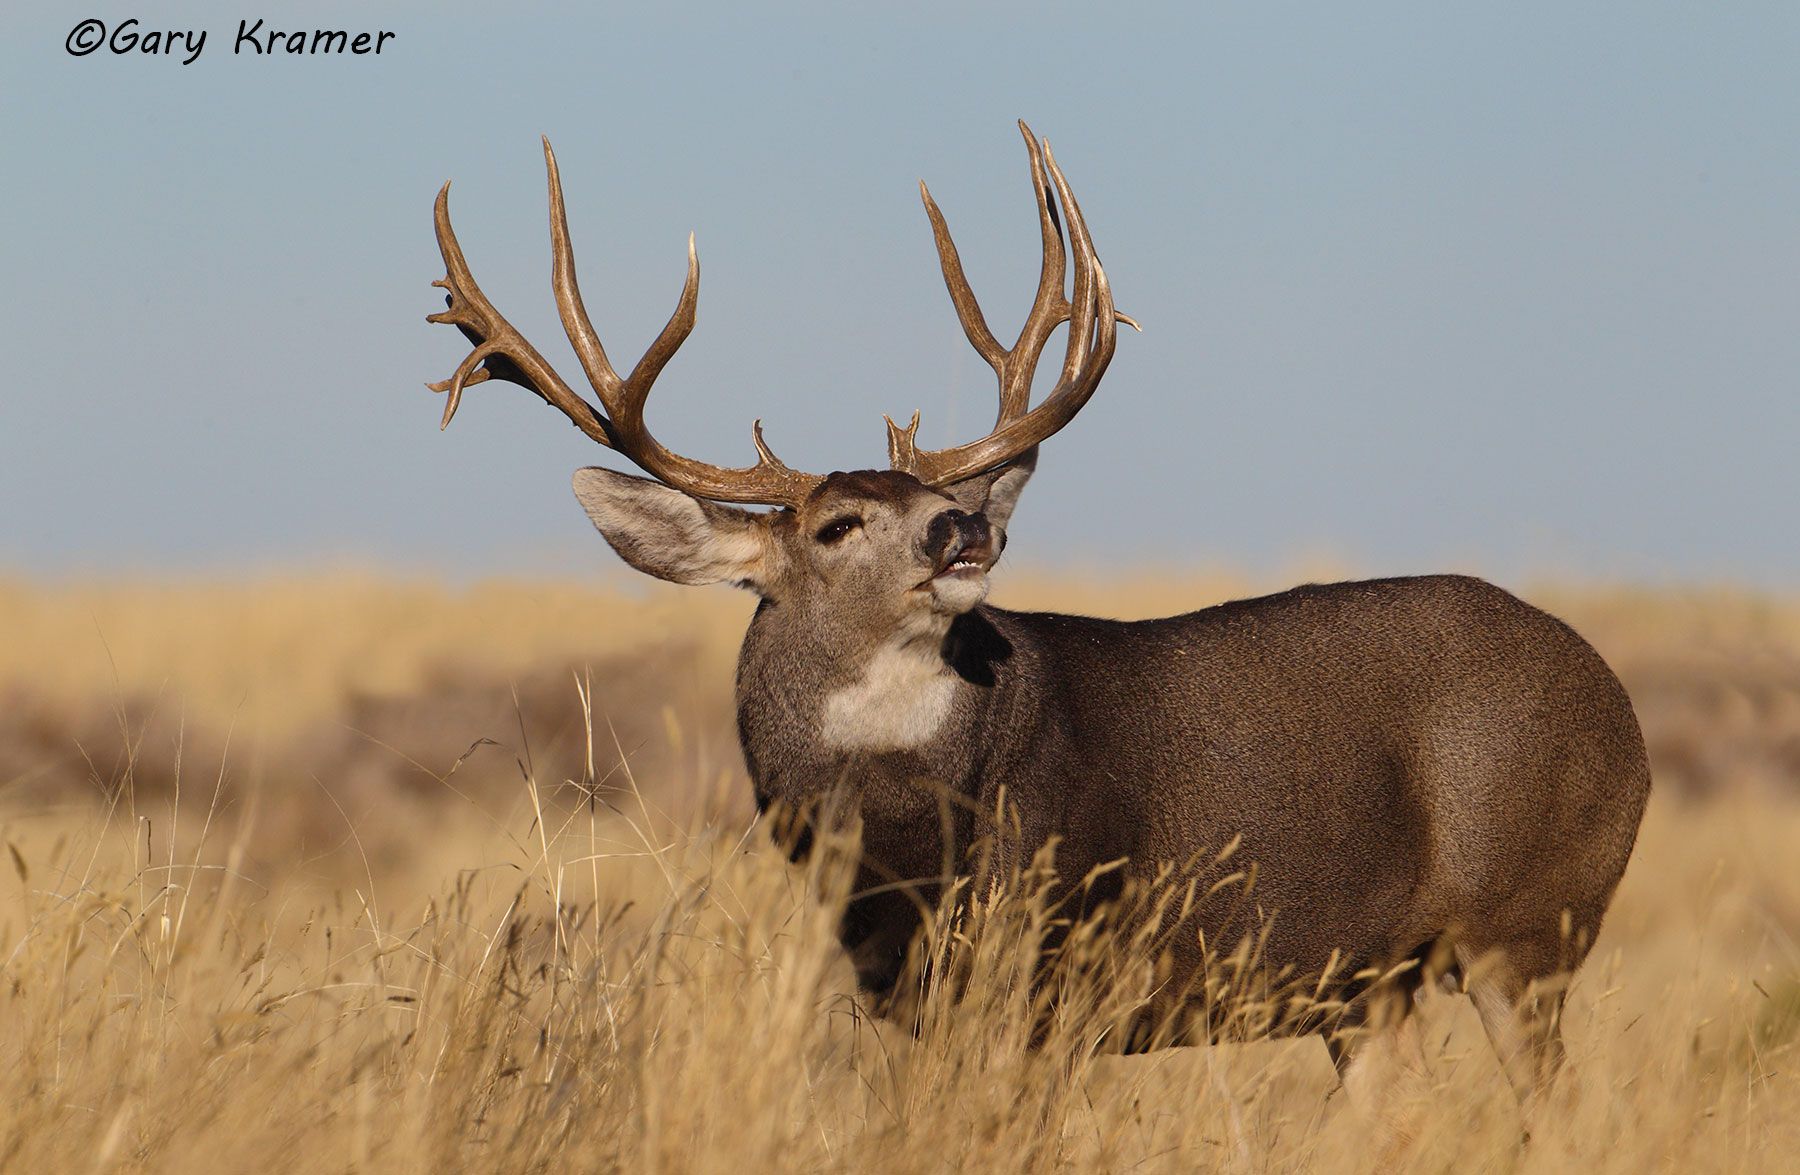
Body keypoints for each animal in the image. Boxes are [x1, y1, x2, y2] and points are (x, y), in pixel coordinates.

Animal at [421, 123, 1651, 1120]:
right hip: (1372, 983)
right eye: (836, 523)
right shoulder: (901, 987)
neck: (907, 841)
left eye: (932, 497)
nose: (961, 525)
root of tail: (1623, 708)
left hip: (1531, 920)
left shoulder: (1061, 958)